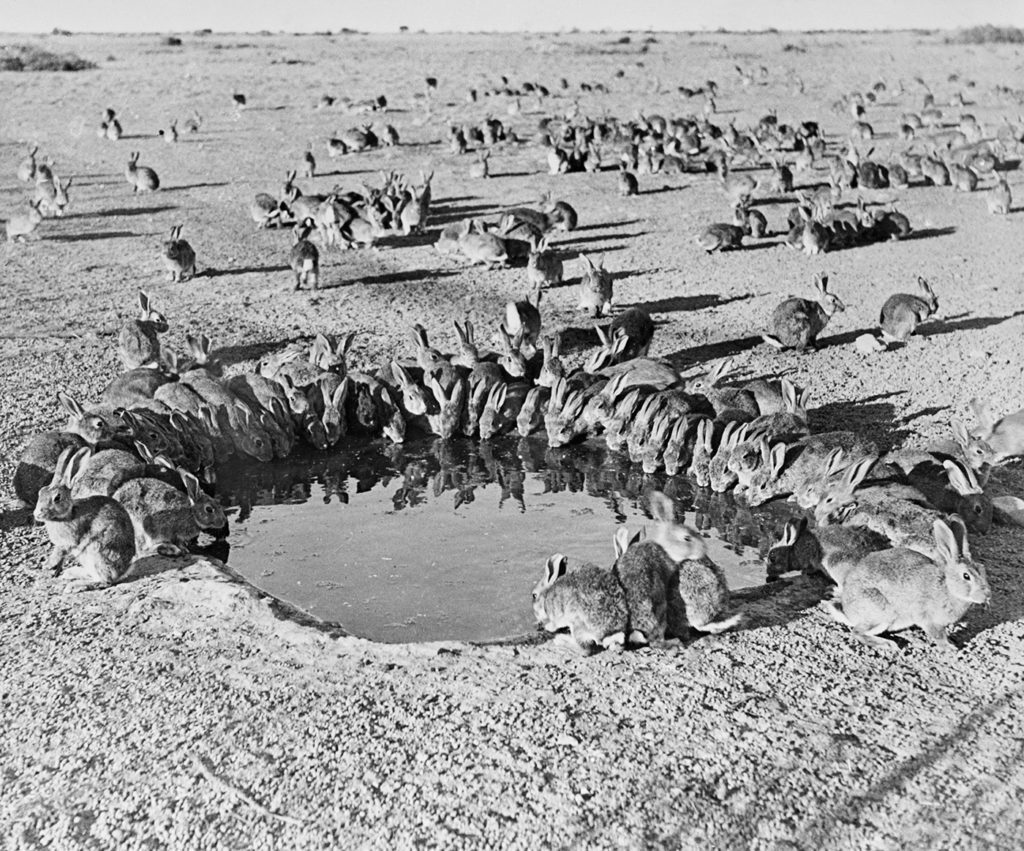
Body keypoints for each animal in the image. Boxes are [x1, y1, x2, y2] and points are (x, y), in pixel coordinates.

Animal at [34, 447, 136, 590]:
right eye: (40, 493)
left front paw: (48, 565)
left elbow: (59, 553)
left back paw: (75, 586)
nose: (37, 514)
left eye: (57, 498)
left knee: (106, 581)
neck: (68, 514)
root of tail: (124, 569)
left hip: (97, 552)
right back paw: (71, 573)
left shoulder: (67, 541)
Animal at [823, 518, 989, 650]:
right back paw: (887, 644)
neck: (948, 588)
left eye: (983, 570)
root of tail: (848, 611)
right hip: (882, 612)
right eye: (966, 576)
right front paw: (949, 648)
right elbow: (938, 636)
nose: (986, 596)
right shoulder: (928, 619)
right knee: (857, 632)